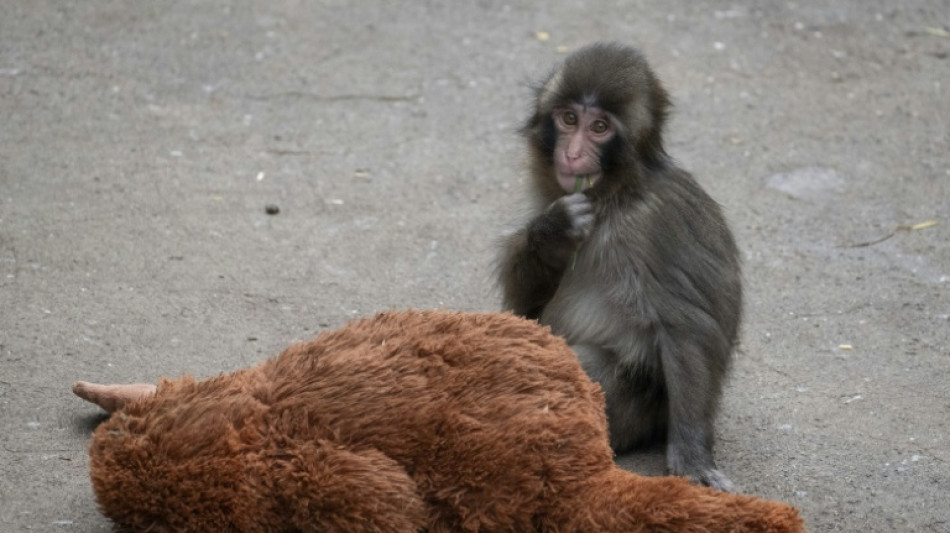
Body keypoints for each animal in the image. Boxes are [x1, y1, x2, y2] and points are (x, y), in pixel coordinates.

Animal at [497, 43, 742, 492]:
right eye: (569, 119)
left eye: (599, 128)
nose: (572, 153)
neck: (615, 197)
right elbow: (524, 311)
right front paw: (554, 233)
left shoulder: (654, 226)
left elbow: (688, 329)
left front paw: (693, 458)